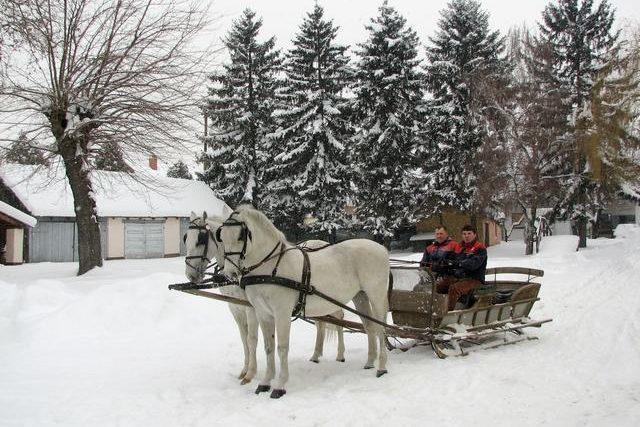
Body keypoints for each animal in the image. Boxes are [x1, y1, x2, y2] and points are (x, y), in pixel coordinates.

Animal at [185, 212, 344, 386]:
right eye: (186, 238)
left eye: (200, 239)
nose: (190, 275)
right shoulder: (235, 308)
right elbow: (244, 339)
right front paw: (244, 370)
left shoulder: (251, 308)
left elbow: (252, 339)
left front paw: (250, 374)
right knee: (320, 324)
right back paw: (316, 355)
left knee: (339, 318)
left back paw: (340, 354)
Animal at [220, 206, 390, 400]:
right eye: (221, 236)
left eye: (241, 235)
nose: (230, 273)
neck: (271, 266)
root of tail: (382, 248)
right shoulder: (264, 314)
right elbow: (268, 347)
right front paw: (265, 383)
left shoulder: (282, 312)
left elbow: (282, 347)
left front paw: (280, 385)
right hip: (360, 296)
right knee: (370, 327)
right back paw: (370, 361)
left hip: (376, 295)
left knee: (381, 328)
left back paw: (381, 367)